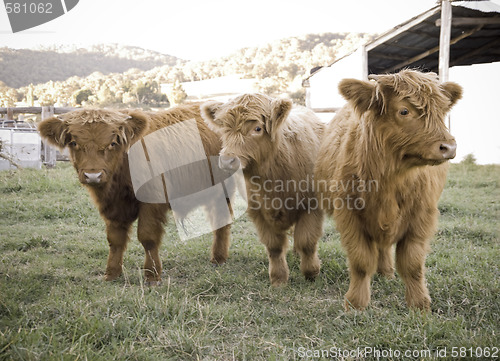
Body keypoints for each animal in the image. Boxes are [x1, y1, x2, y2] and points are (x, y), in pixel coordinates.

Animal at [38, 104, 231, 284]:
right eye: (74, 143)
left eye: (112, 143)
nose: (93, 175)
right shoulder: (114, 206)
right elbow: (115, 239)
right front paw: (112, 273)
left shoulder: (152, 202)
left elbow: (148, 237)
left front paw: (152, 276)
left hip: (224, 188)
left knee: (222, 220)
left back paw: (218, 258)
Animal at [202, 94, 324, 286]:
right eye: (225, 129)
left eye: (257, 128)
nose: (227, 161)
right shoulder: (258, 211)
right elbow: (274, 247)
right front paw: (278, 279)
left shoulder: (311, 205)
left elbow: (307, 241)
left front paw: (311, 273)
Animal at [314, 70, 462, 310]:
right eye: (404, 110)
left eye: (441, 110)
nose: (449, 147)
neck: (391, 180)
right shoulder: (349, 215)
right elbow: (361, 261)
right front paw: (356, 303)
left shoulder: (422, 216)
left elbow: (412, 264)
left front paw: (419, 304)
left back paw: (386, 272)